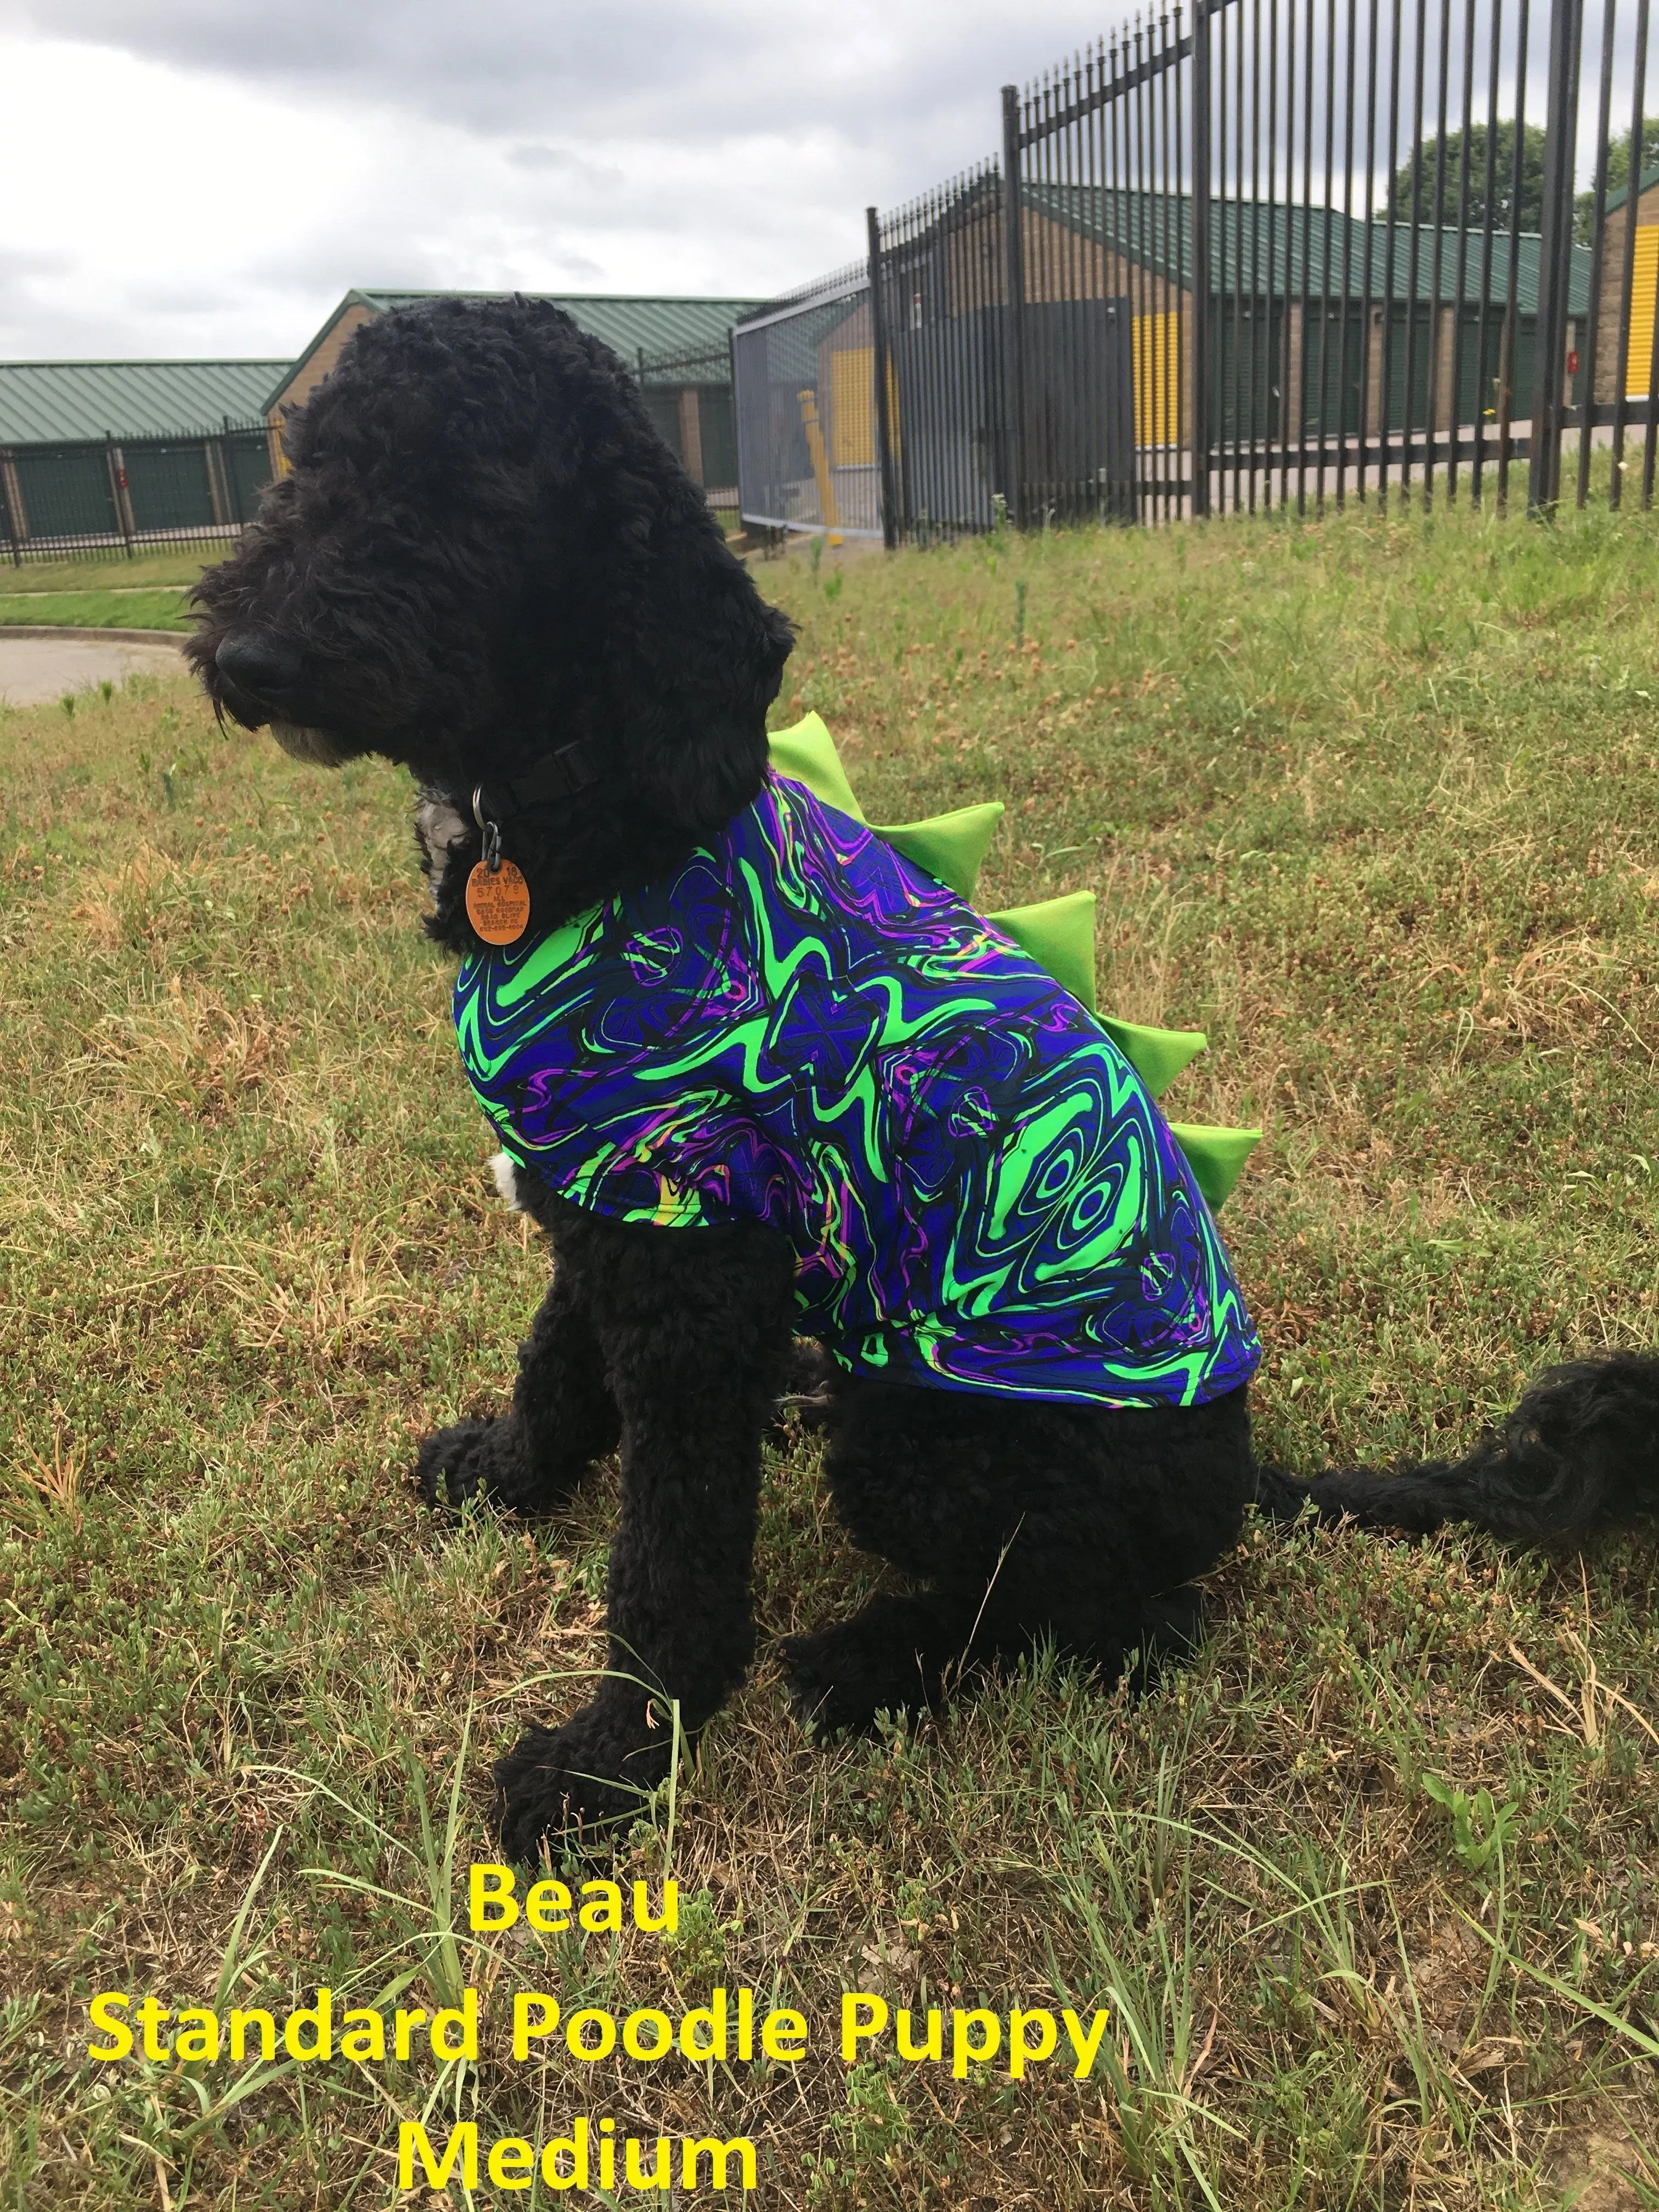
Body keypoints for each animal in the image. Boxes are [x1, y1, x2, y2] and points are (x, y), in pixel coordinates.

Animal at [188, 294, 1659, 1849]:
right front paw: (515, 1475)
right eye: (311, 461)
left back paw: (875, 1659)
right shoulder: (612, 1193)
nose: (249, 657)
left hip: (932, 1449)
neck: (593, 814)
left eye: (473, 491)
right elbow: (555, 1358)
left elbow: (671, 1551)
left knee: (1124, 1617)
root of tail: (1241, 1468)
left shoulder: (686, 1248)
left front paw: (616, 1753)